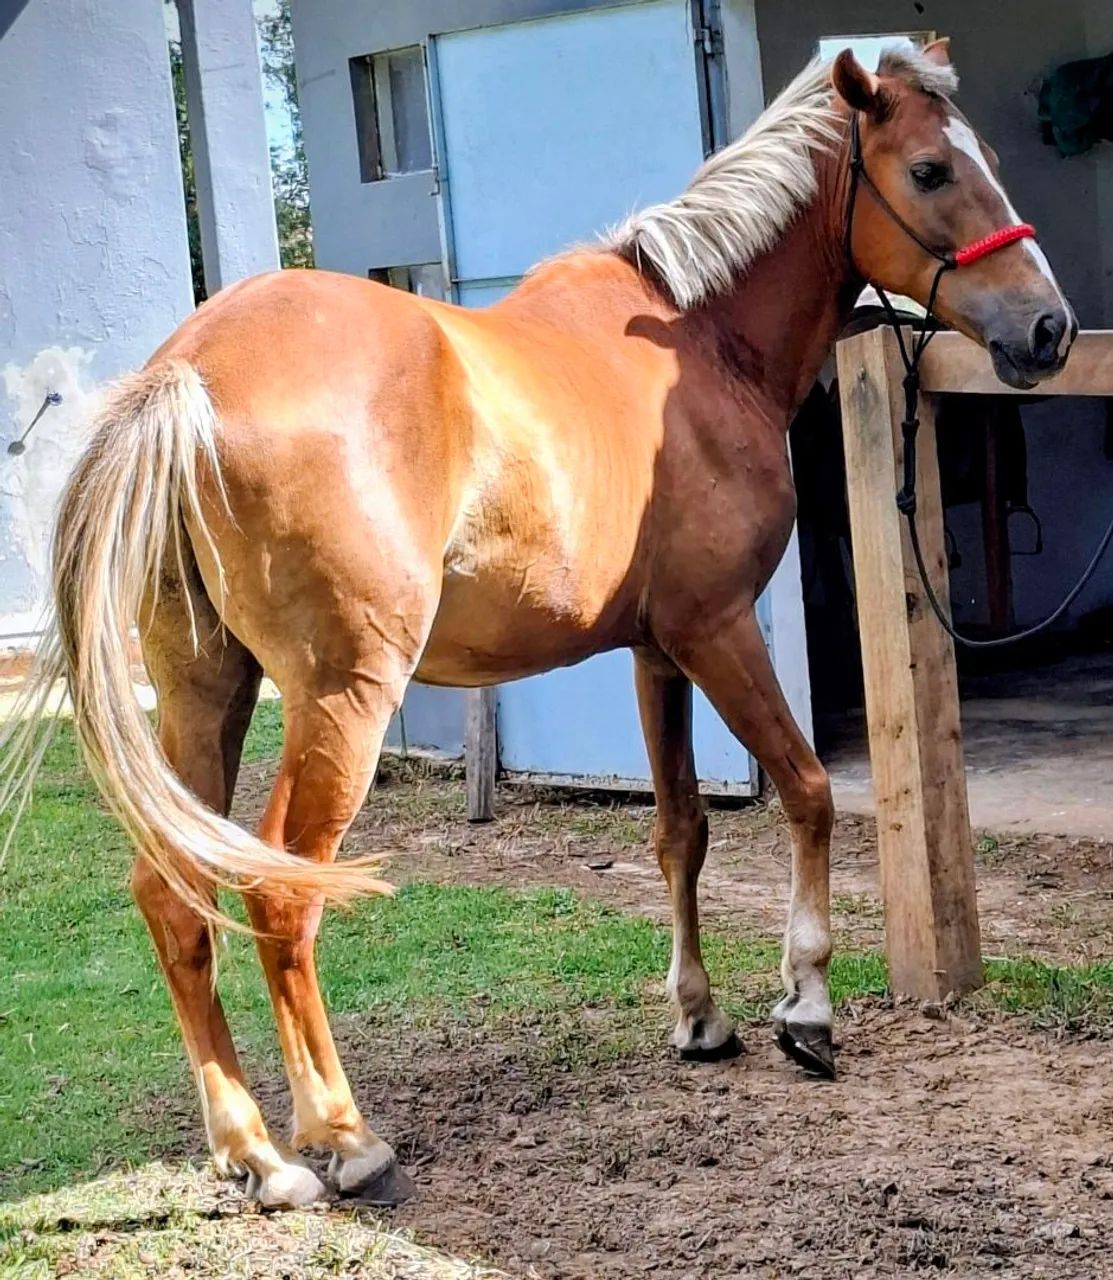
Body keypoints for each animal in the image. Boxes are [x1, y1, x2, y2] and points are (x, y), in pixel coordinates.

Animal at [2, 40, 1074, 1208]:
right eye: (928, 170)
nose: (1049, 327)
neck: (699, 338)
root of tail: (186, 370)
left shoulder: (656, 652)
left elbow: (681, 829)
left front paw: (700, 1016)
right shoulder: (720, 630)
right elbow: (806, 791)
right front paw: (806, 1004)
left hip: (207, 693)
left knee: (173, 894)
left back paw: (253, 1150)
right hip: (340, 699)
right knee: (282, 897)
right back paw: (343, 1136)